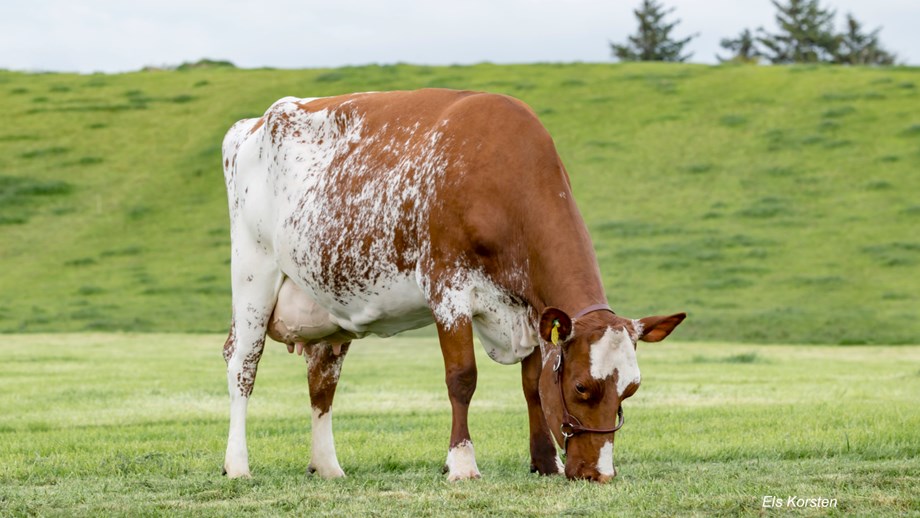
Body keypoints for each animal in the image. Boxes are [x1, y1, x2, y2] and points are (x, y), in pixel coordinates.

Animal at [221, 88, 684, 484]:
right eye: (581, 387)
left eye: (631, 389)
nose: (599, 474)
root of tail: (253, 123)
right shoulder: (447, 288)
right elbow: (462, 378)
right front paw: (461, 463)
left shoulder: (530, 309)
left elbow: (532, 385)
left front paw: (544, 461)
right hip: (252, 272)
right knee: (243, 364)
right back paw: (238, 465)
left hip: (326, 302)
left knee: (322, 381)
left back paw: (328, 467)